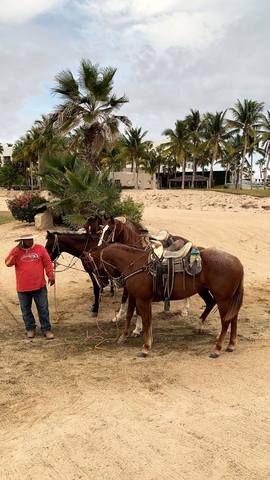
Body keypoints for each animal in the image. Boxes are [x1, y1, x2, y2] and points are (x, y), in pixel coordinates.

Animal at [87, 242, 244, 358]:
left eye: (94, 265)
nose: (102, 283)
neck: (134, 264)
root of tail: (238, 262)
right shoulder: (133, 295)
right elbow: (129, 315)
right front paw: (123, 337)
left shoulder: (143, 299)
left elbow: (146, 320)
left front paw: (146, 347)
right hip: (221, 296)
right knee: (232, 317)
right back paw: (231, 344)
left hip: (223, 299)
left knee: (225, 321)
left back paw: (217, 349)